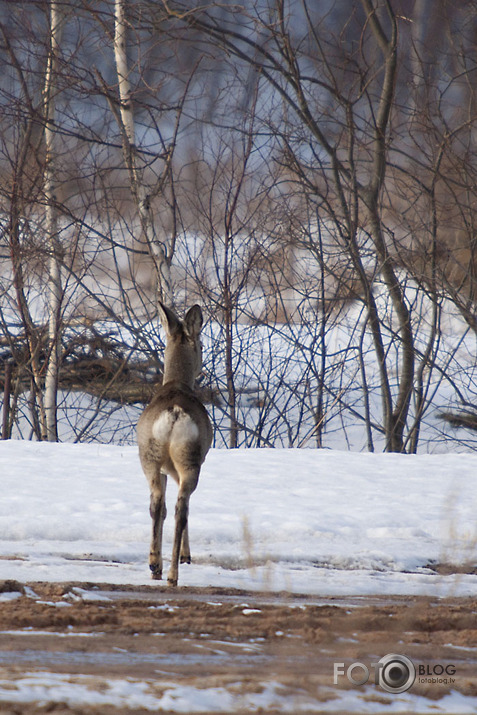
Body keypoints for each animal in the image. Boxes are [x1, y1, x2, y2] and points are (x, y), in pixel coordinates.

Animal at [135, 304, 211, 588]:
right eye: (201, 344)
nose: (201, 366)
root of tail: (175, 413)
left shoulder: (163, 468)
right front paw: (186, 556)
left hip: (149, 457)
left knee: (157, 504)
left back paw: (155, 565)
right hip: (190, 459)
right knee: (181, 507)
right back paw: (173, 573)